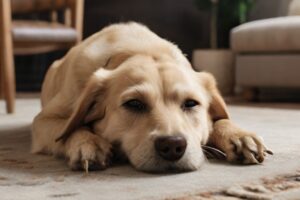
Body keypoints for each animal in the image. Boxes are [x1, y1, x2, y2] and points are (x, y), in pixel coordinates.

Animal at [31, 21, 274, 172]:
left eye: (191, 103)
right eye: (134, 103)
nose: (173, 146)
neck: (140, 49)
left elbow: (221, 119)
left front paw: (239, 135)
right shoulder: (42, 121)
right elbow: (69, 129)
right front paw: (88, 142)